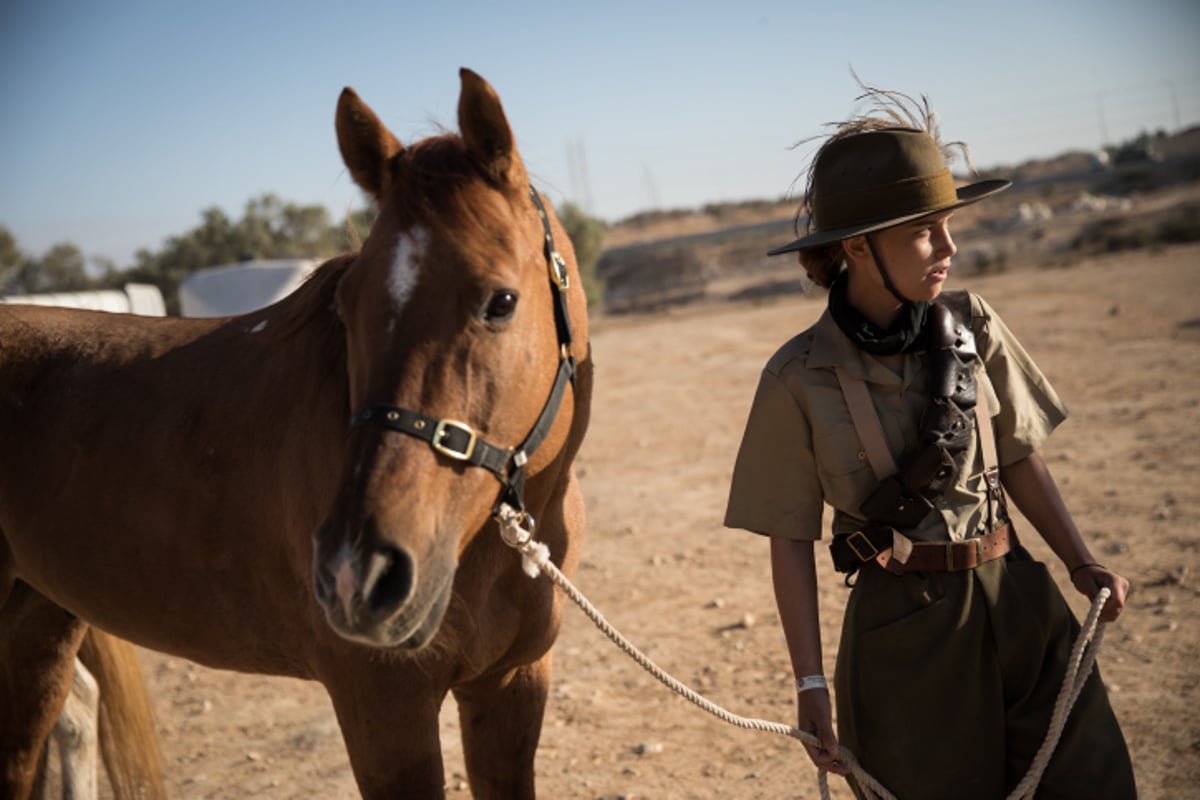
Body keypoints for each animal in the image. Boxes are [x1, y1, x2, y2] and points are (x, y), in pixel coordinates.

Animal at [2, 70, 592, 800]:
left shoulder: (508, 688)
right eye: (347, 304)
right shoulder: (384, 712)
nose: (355, 575)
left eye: (501, 301)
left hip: (37, 625)